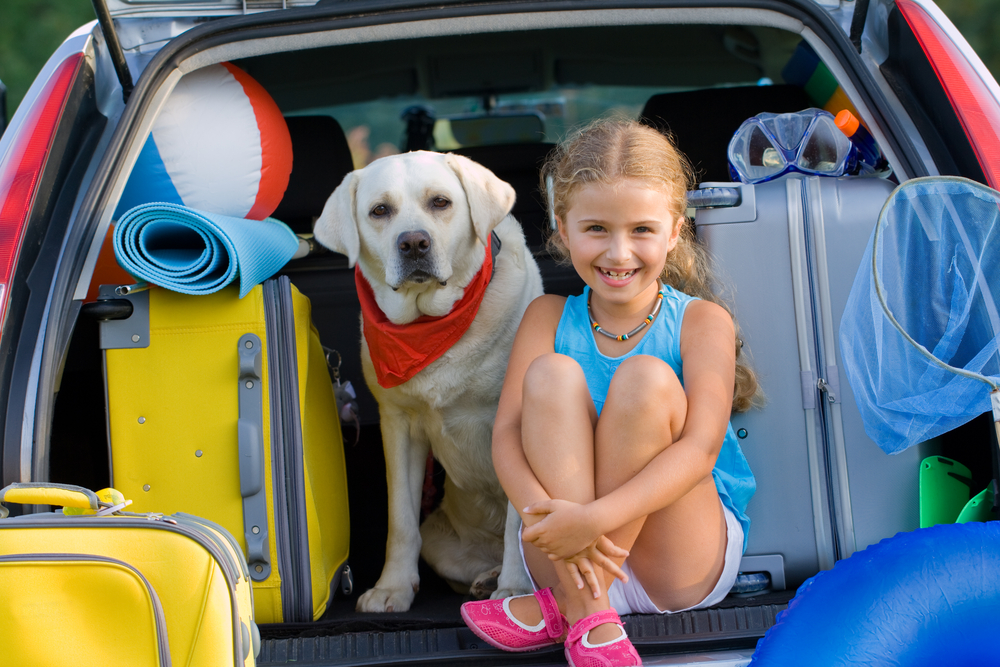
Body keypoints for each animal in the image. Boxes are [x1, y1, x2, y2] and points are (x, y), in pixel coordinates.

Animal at [316, 150, 544, 612]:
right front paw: (392, 588)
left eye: (440, 202)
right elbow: (401, 519)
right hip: (442, 542)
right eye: (379, 211)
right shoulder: (398, 424)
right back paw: (485, 579)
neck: (433, 326)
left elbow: (517, 519)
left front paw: (516, 588)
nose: (414, 243)